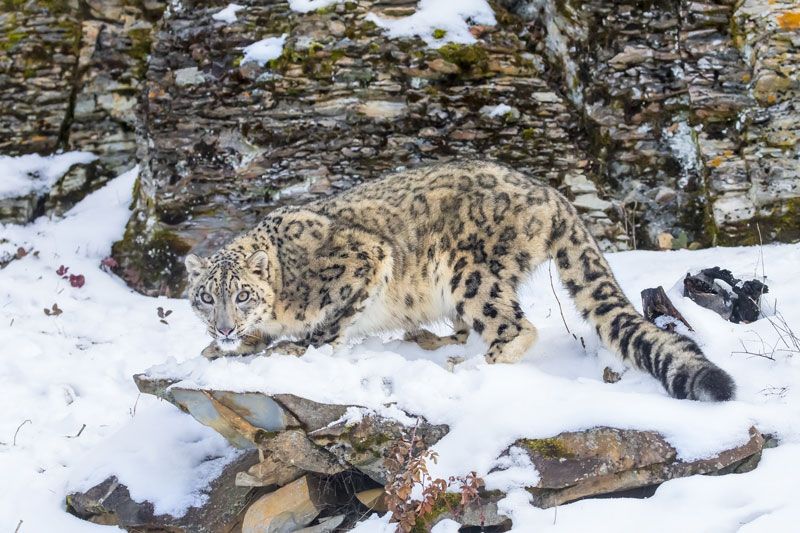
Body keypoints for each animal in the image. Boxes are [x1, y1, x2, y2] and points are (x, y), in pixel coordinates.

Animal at [184, 160, 736, 402]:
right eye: (207, 298)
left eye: (242, 294)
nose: (225, 326)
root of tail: (550, 193)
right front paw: (221, 349)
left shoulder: (364, 259)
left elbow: (331, 323)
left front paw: (298, 350)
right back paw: (436, 341)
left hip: (467, 271)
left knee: (515, 326)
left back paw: (468, 366)